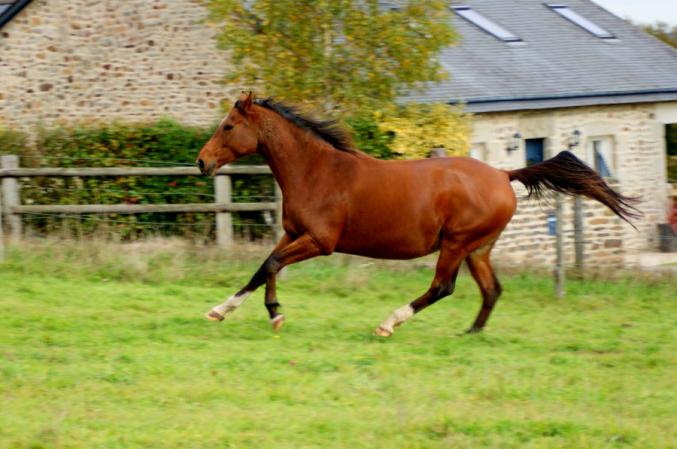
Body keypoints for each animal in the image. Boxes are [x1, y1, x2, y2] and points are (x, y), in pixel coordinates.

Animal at [196, 92, 638, 337]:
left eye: (229, 126)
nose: (202, 162)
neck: (318, 171)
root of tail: (503, 174)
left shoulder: (320, 242)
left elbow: (271, 265)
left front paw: (267, 314)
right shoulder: (292, 234)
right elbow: (265, 267)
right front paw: (234, 312)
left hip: (456, 244)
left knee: (443, 287)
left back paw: (389, 324)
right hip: (478, 249)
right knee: (491, 289)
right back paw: (471, 333)